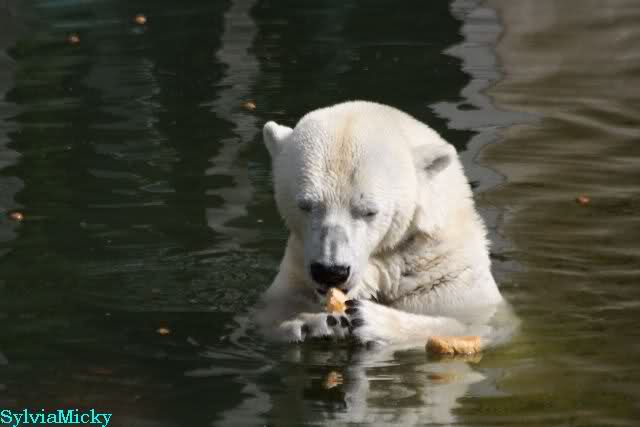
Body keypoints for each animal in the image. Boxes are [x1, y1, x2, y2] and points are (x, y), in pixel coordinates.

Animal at [255, 101, 505, 346]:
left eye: (369, 211)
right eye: (306, 205)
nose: (331, 271)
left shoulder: (445, 274)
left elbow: (472, 326)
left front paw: (369, 318)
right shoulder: (297, 267)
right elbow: (270, 312)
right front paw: (313, 323)